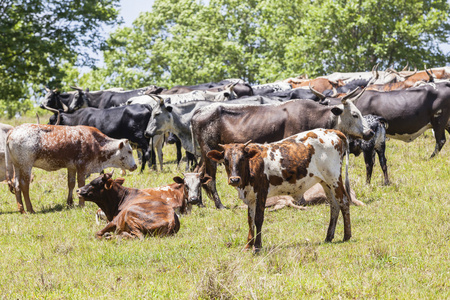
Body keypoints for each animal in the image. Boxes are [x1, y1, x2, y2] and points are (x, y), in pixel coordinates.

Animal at [5, 123, 136, 213]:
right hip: (26, 165)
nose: (135, 166)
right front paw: (81, 204)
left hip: (17, 165)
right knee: (24, 185)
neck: (96, 143)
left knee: (16, 185)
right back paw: (30, 209)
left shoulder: (71, 167)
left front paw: (70, 203)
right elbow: (81, 183)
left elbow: (71, 184)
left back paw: (21, 209)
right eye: (129, 151)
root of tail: (13, 130)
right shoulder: (82, 166)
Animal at [190, 91, 372, 209]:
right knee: (209, 178)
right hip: (210, 152)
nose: (370, 132)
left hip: (207, 154)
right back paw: (219, 205)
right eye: (355, 114)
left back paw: (199, 203)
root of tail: (199, 111)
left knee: (198, 173)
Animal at [206, 127, 354, 252]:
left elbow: (258, 218)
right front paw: (248, 245)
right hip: (325, 182)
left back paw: (347, 235)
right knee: (334, 206)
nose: (234, 180)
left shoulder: (262, 192)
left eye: (242, 158)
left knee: (344, 201)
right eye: (226, 160)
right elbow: (250, 220)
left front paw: (257, 246)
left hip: (334, 178)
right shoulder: (250, 197)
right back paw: (328, 237)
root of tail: (332, 131)